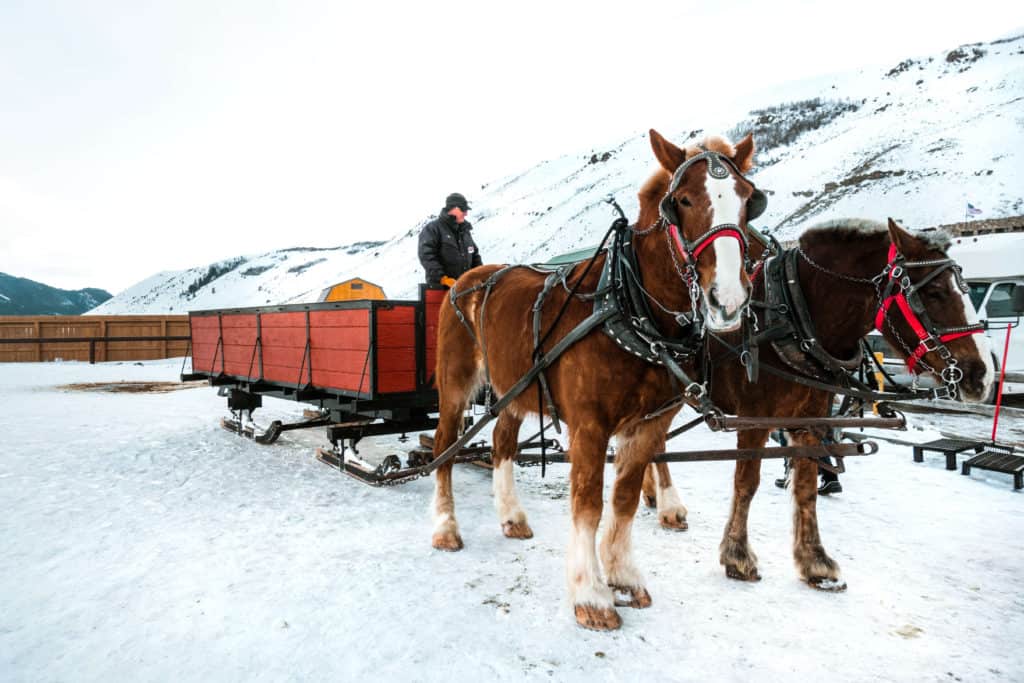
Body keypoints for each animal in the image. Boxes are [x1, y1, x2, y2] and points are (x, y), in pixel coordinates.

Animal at [430, 127, 761, 630]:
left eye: (747, 199)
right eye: (682, 201)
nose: (728, 299)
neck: (630, 308)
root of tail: (469, 279)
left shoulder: (649, 424)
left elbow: (624, 498)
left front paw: (623, 575)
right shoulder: (589, 425)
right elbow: (588, 504)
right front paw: (591, 595)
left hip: (515, 388)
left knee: (503, 442)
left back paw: (511, 516)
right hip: (455, 385)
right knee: (444, 448)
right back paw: (446, 527)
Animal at [647, 218, 991, 589]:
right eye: (934, 292)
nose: (983, 374)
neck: (793, 318)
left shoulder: (811, 421)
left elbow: (806, 487)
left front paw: (815, 562)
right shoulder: (754, 420)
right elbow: (746, 483)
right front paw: (737, 556)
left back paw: (654, 497)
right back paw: (668, 505)